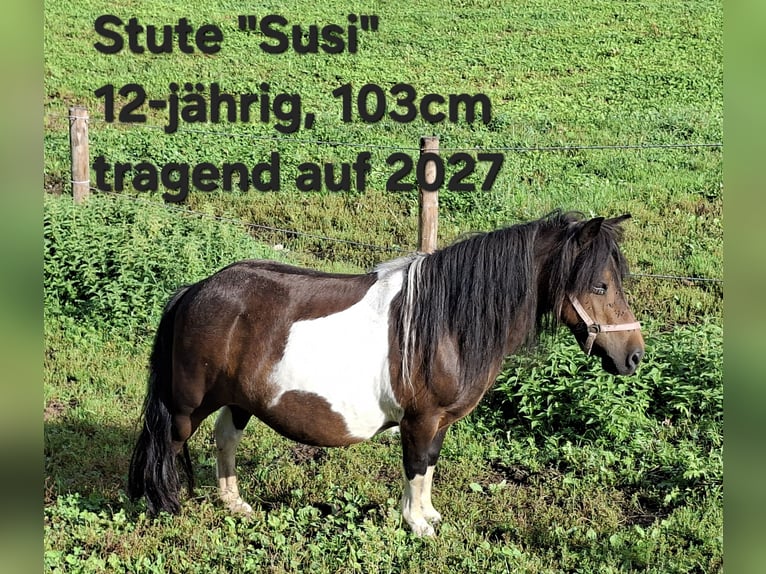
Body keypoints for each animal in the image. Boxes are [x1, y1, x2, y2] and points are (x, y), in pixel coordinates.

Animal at [128, 210, 644, 536]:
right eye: (600, 285)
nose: (634, 357)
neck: (447, 321)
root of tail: (197, 289)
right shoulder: (422, 419)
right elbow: (415, 466)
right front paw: (417, 525)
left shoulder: (437, 423)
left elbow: (428, 466)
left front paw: (427, 516)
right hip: (187, 404)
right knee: (167, 444)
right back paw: (163, 505)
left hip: (239, 400)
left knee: (225, 439)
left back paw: (235, 504)